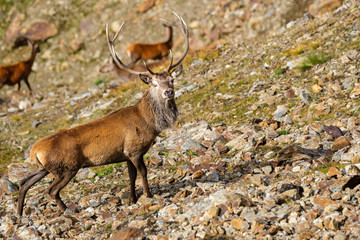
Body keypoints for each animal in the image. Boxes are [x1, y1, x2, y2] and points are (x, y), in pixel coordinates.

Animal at [16, 12, 188, 217]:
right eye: (154, 83)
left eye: (171, 80)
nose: (168, 92)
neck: (150, 123)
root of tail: (35, 152)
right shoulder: (134, 149)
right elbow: (144, 172)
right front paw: (148, 195)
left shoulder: (125, 154)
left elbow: (131, 177)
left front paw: (132, 199)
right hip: (67, 167)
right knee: (50, 190)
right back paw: (69, 212)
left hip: (44, 168)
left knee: (24, 182)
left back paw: (19, 213)